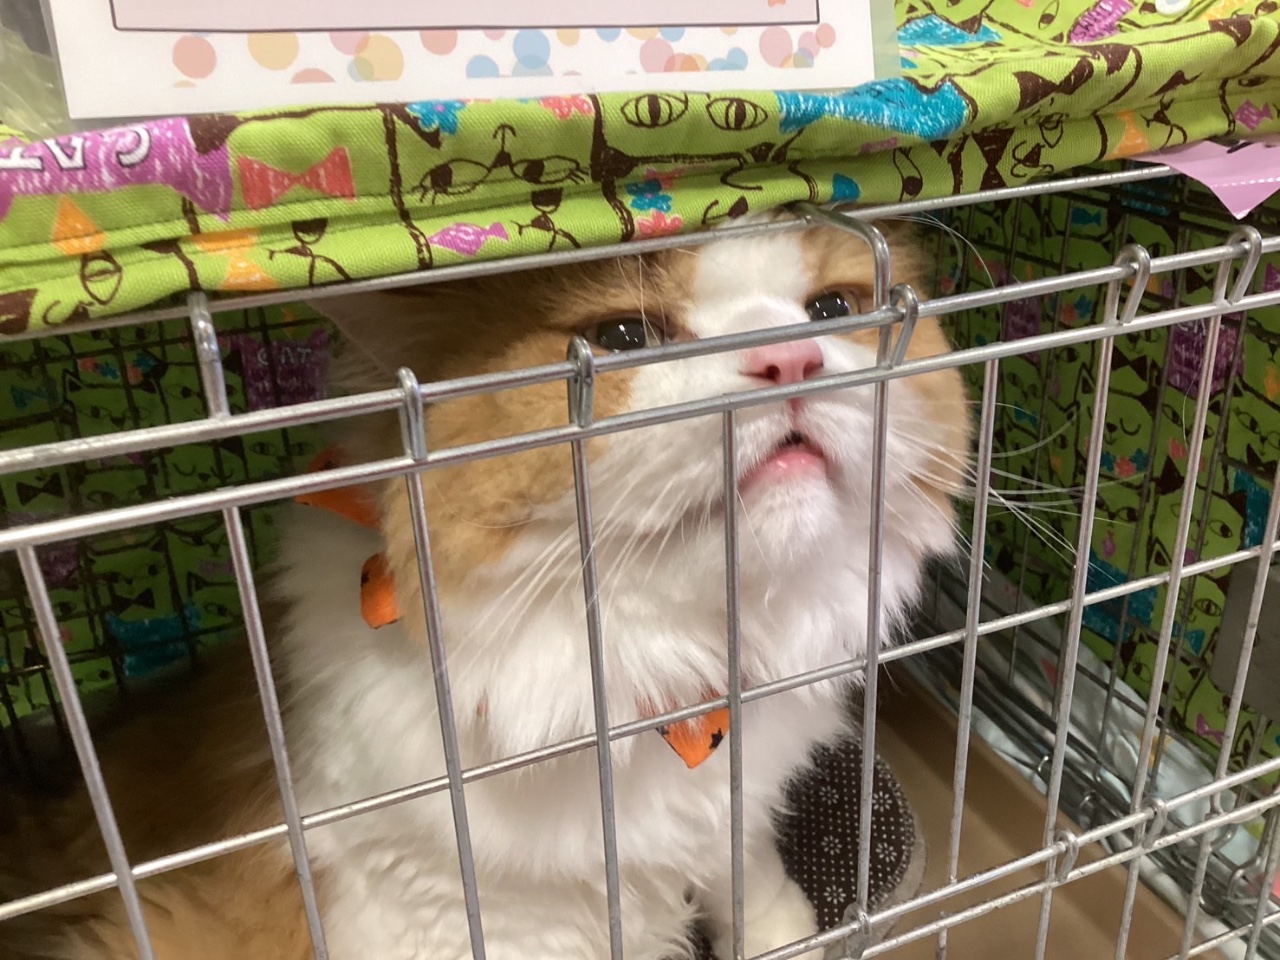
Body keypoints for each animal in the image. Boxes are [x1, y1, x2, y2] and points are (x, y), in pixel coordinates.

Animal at [0, 219, 970, 960]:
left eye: (833, 310)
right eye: (624, 341)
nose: (790, 360)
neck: (656, 674)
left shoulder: (736, 808)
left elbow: (755, 884)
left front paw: (786, 932)